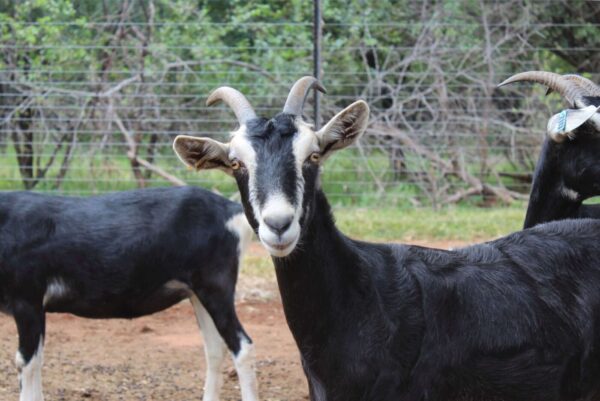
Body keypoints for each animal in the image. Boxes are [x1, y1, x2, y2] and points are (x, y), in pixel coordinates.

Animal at [0, 186, 255, 400]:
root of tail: (233, 213)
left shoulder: (28, 300)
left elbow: (26, 362)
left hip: (216, 288)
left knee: (243, 347)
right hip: (198, 294)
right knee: (215, 349)